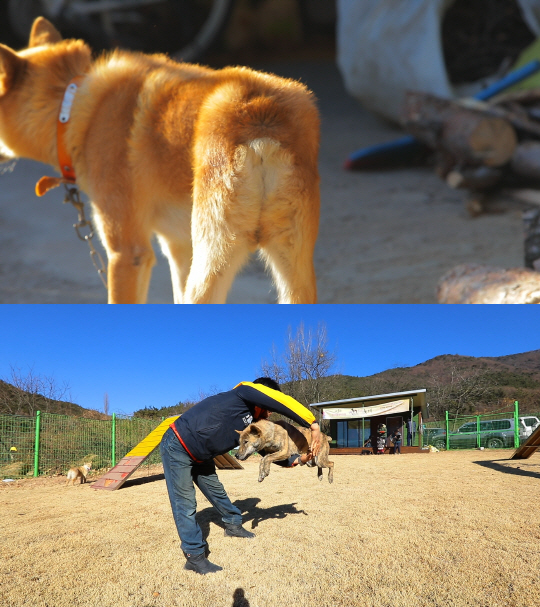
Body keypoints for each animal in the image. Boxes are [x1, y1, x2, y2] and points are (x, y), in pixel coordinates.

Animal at [0, 17, 320, 304]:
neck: (71, 104)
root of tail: (262, 115)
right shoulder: (178, 247)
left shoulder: (127, 253)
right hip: (294, 274)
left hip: (210, 266)